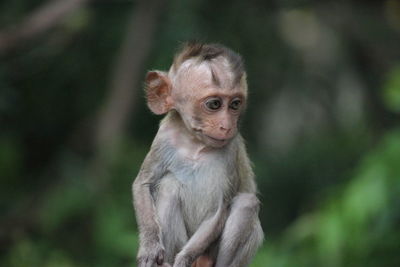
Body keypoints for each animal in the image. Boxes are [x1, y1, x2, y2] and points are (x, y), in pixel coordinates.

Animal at [133, 43, 264, 266]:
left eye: (235, 104)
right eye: (214, 104)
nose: (226, 126)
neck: (196, 144)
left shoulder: (231, 152)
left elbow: (219, 211)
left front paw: (184, 260)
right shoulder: (163, 139)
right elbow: (143, 184)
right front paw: (150, 248)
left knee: (246, 203)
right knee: (169, 186)